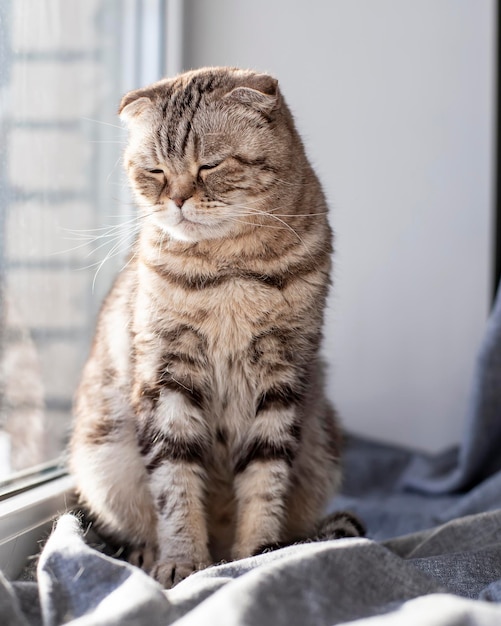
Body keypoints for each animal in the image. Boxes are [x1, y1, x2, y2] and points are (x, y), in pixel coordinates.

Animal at [68, 67, 364, 584]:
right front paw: (183, 562)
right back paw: (150, 555)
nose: (178, 198)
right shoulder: (166, 373)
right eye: (155, 171)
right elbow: (174, 481)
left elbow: (265, 479)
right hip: (102, 455)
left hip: (323, 442)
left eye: (209, 166)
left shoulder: (282, 372)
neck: (228, 268)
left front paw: (257, 555)